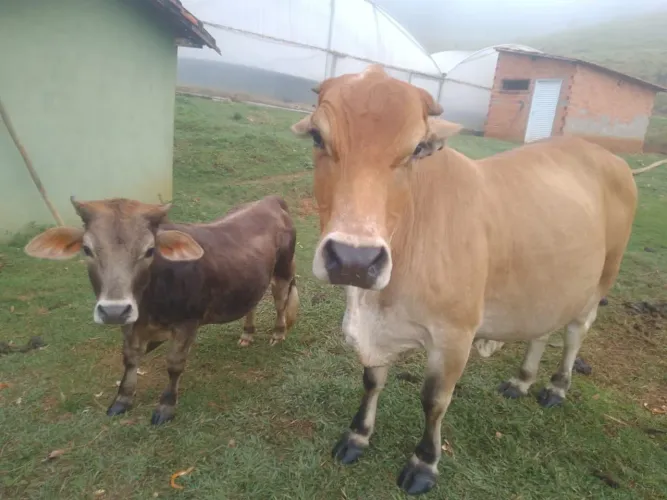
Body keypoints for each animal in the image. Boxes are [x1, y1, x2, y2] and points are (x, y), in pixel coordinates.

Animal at [23, 195, 299, 425]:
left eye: (149, 250)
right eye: (87, 249)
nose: (114, 311)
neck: (151, 301)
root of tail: (271, 200)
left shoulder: (187, 323)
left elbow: (175, 365)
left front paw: (166, 407)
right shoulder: (131, 323)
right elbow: (130, 358)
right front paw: (122, 401)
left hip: (283, 269)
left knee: (280, 300)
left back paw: (278, 333)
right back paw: (247, 334)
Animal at [289, 65, 664, 495]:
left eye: (417, 149)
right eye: (318, 137)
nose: (354, 259)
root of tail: (611, 159)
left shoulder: (455, 337)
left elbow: (434, 400)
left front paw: (424, 463)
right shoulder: (377, 332)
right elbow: (372, 380)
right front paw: (357, 436)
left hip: (600, 280)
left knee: (574, 334)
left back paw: (556, 386)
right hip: (549, 286)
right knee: (541, 332)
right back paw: (521, 381)